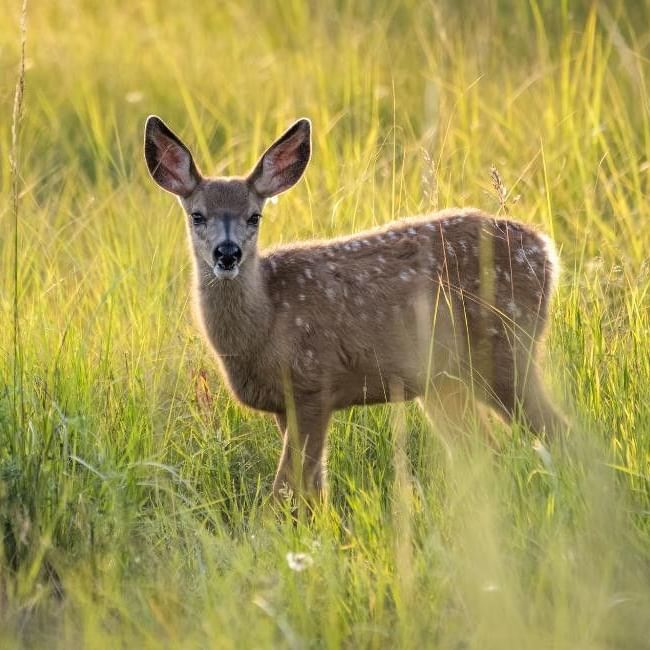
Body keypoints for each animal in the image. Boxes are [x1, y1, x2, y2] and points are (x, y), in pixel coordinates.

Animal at [143, 115, 566, 503]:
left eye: (254, 216)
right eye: (197, 215)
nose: (227, 253)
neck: (265, 322)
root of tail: (545, 250)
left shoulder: (313, 383)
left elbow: (287, 489)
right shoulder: (284, 404)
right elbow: (312, 491)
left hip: (505, 347)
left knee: (558, 430)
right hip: (444, 380)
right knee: (482, 451)